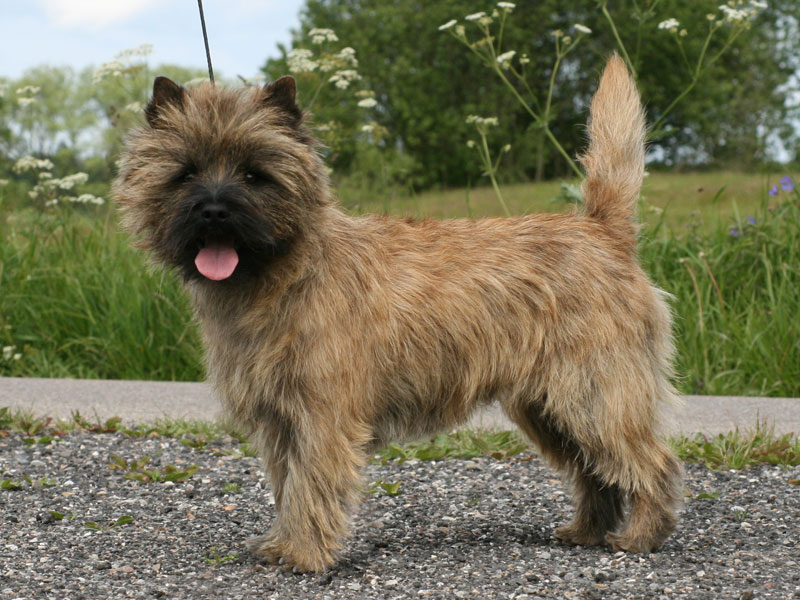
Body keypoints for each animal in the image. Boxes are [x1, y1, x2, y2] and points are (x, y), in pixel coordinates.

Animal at [115, 55, 684, 572]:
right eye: (185, 173)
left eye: (255, 175)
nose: (214, 209)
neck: (282, 275)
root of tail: (601, 230)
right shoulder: (280, 422)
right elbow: (287, 485)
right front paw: (283, 543)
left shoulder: (322, 416)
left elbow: (311, 484)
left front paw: (304, 555)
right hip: (548, 406)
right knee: (595, 470)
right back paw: (586, 531)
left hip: (593, 394)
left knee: (650, 461)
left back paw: (640, 538)